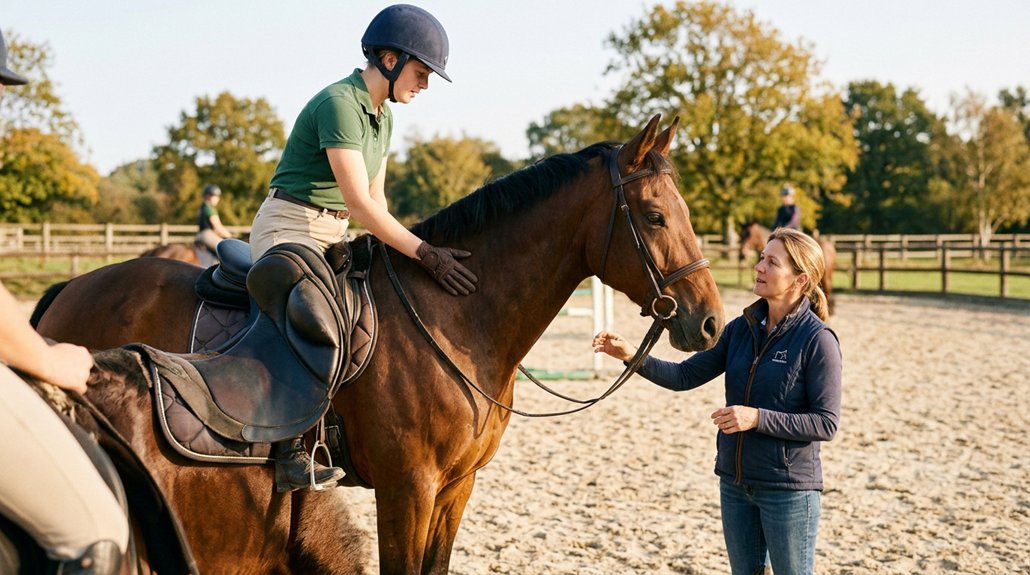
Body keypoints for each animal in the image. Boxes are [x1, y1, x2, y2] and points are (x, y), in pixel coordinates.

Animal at [32, 115, 725, 573]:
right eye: (655, 217)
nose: (711, 324)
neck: (456, 317)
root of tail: (70, 286)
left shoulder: (454, 488)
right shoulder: (406, 488)